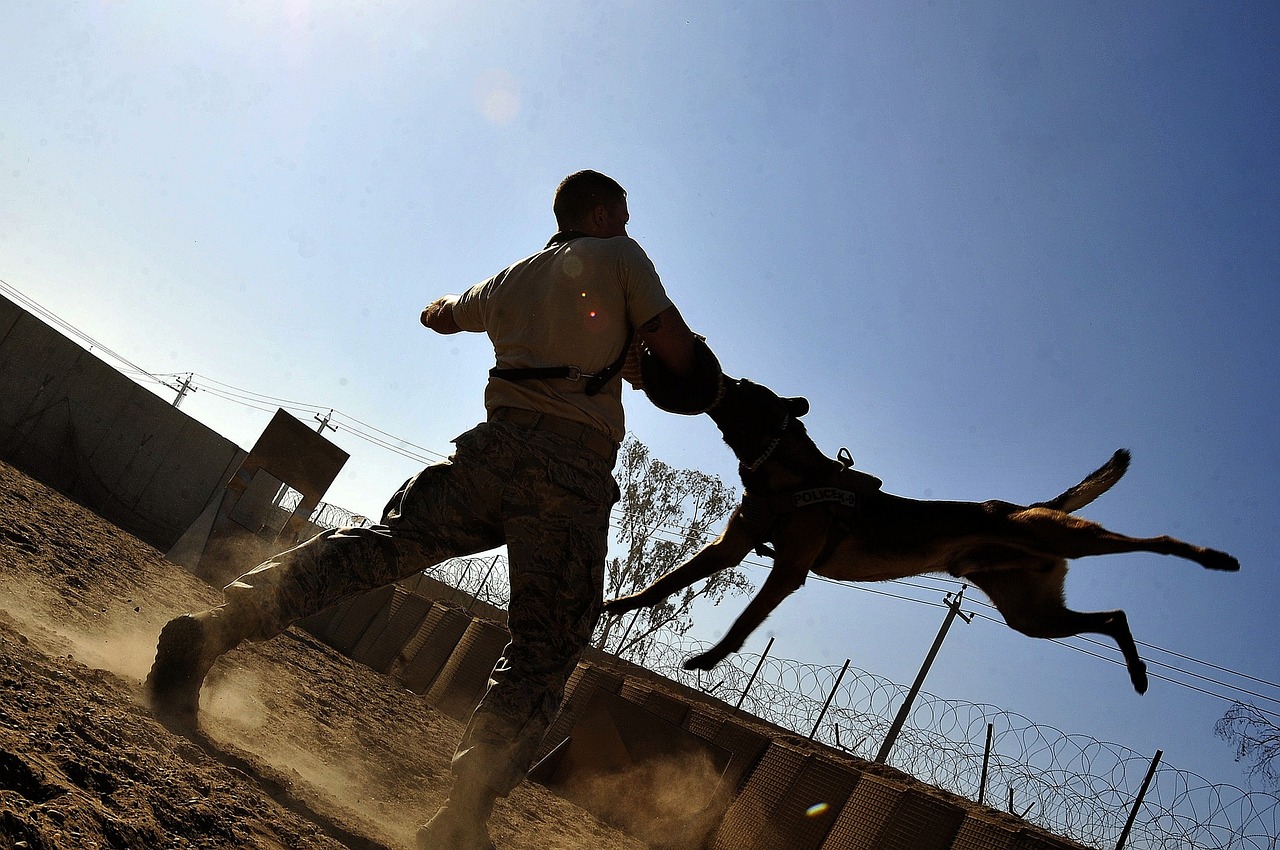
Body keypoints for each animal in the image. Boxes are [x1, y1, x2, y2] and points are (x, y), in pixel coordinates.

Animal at [606, 376, 1239, 691]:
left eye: (741, 388)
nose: (711, 369)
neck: (789, 473)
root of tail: (1033, 507)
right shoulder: (729, 548)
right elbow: (666, 583)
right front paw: (618, 603)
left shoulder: (787, 570)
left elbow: (743, 623)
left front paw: (710, 659)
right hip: (1031, 615)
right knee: (1114, 617)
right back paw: (1137, 672)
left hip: (1065, 540)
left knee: (1152, 543)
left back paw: (1214, 558)